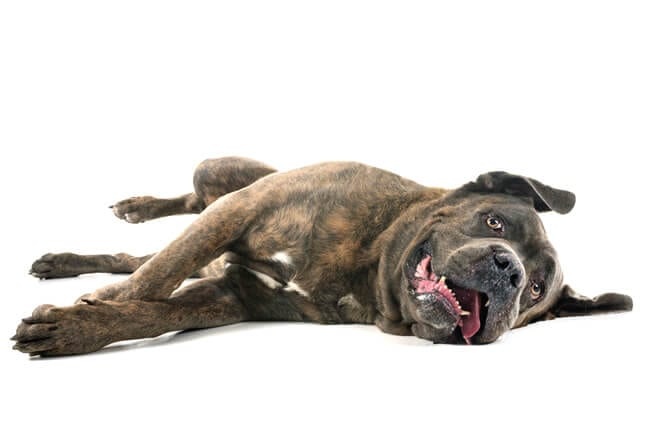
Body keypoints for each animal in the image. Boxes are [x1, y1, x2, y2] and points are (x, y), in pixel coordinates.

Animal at [10, 157, 632, 354]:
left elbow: (150, 308)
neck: (370, 259)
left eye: (535, 292)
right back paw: (136, 209)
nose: (511, 271)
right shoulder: (240, 210)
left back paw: (63, 262)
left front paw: (79, 326)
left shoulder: (229, 297)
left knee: (134, 257)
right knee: (180, 217)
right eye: (495, 222)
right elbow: (157, 278)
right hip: (221, 178)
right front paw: (85, 312)